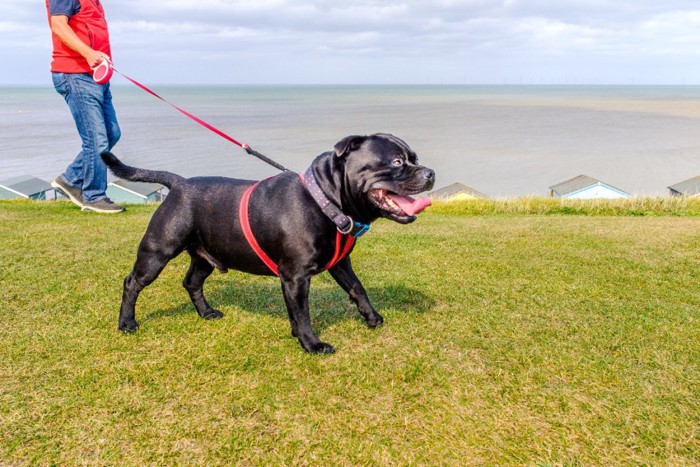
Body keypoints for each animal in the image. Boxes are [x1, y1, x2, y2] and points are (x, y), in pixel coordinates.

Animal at [102, 133, 434, 352]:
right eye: (396, 161)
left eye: (415, 158)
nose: (430, 172)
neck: (325, 200)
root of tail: (179, 183)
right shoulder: (295, 276)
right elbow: (302, 312)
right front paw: (311, 344)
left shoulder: (339, 264)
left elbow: (357, 289)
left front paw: (371, 317)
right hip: (157, 252)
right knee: (132, 282)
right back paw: (127, 323)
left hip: (206, 256)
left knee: (192, 282)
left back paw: (206, 313)